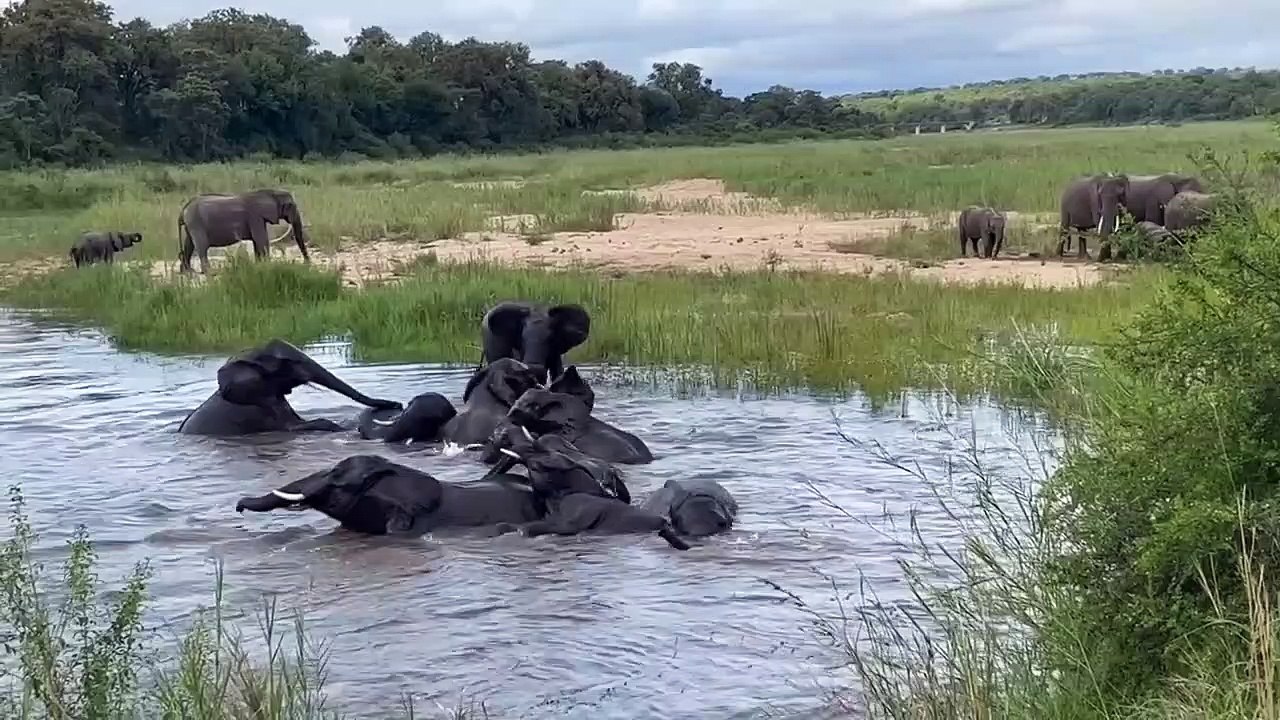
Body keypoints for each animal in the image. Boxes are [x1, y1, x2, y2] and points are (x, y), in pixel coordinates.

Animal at [178, 189, 311, 274]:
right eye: (291, 205)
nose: (306, 263)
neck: (271, 192)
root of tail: (184, 208)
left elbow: (257, 242)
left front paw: (260, 266)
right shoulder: (255, 216)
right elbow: (261, 240)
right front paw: (267, 266)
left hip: (191, 224)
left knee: (189, 244)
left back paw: (187, 272)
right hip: (196, 223)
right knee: (202, 246)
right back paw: (210, 272)